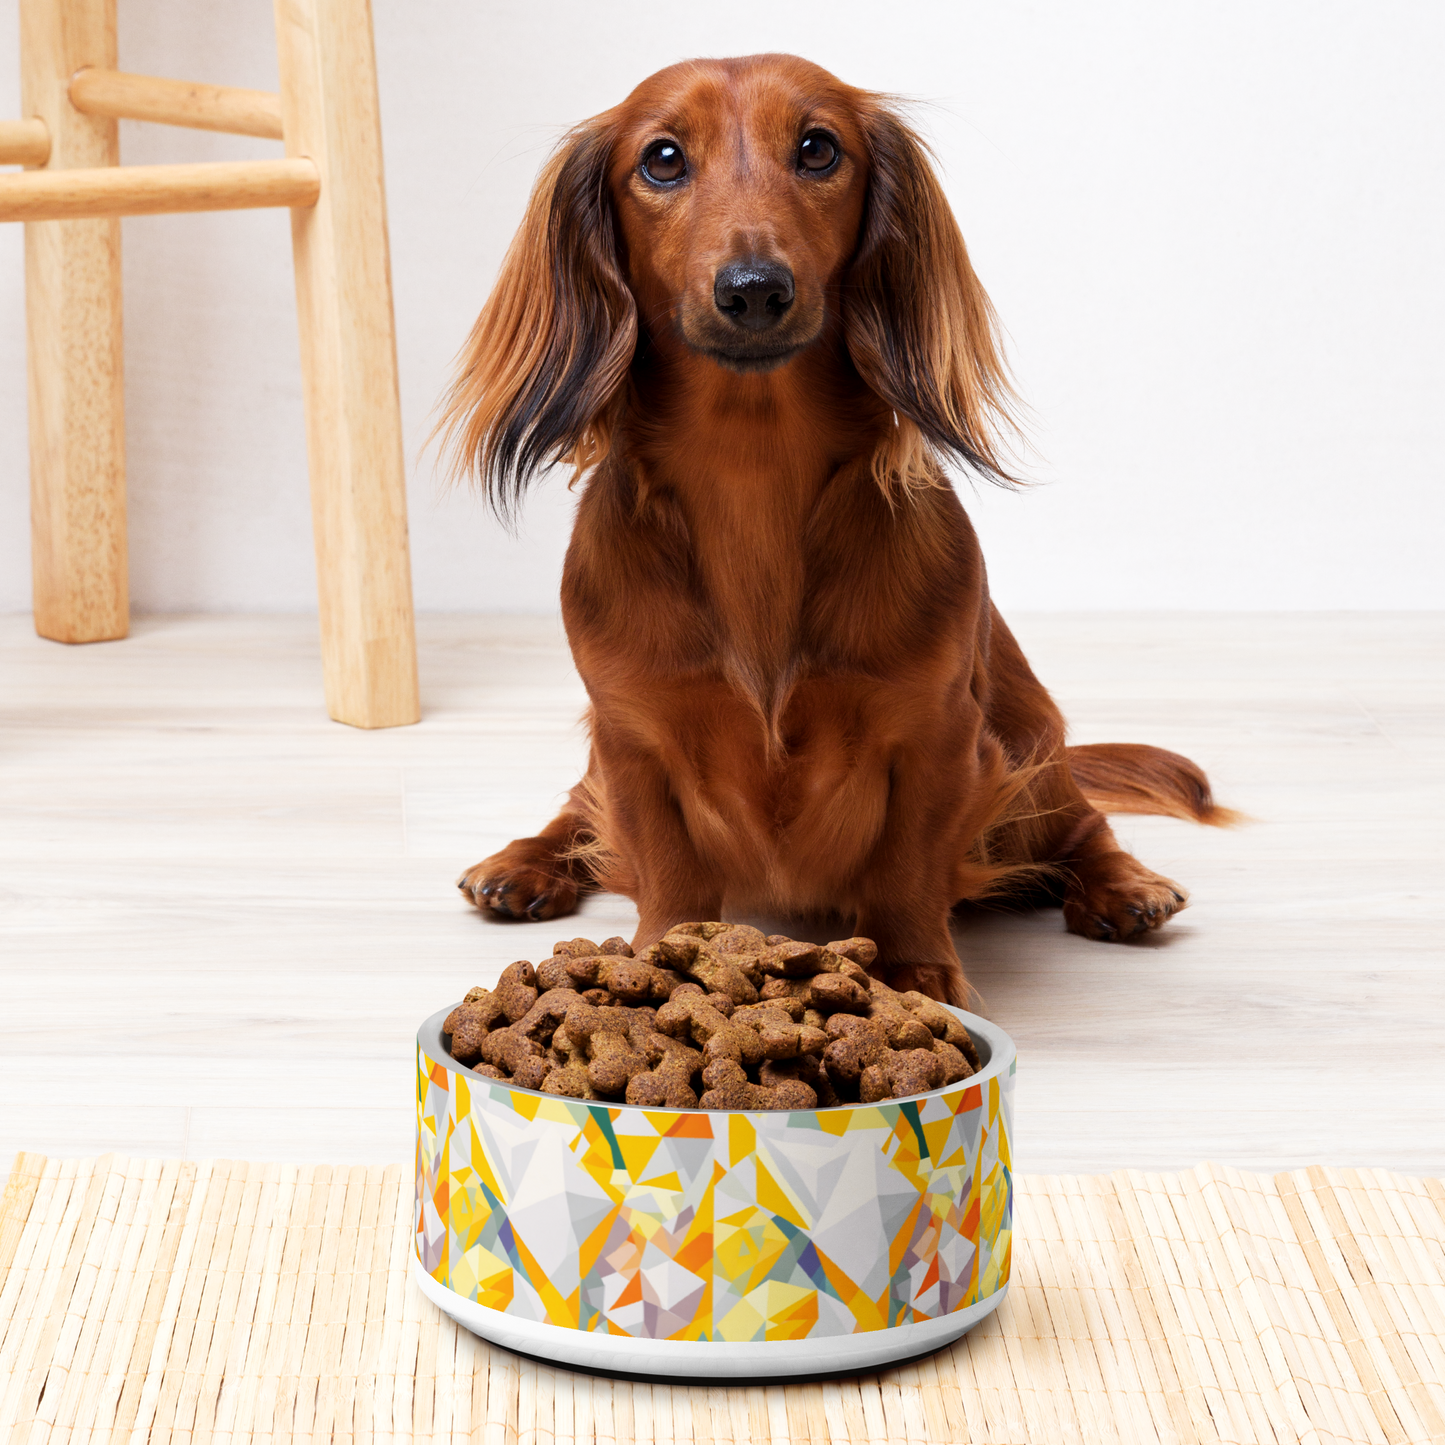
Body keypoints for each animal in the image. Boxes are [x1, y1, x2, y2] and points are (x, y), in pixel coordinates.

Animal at [439, 56, 1231, 1005]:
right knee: (576, 810)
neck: (752, 474)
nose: (753, 290)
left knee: (1081, 823)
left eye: (818, 148)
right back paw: (523, 863)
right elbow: (664, 864)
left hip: (1027, 745)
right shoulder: (632, 735)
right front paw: (661, 958)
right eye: (661, 159)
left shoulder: (937, 733)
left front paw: (916, 970)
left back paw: (1123, 885)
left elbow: (906, 866)